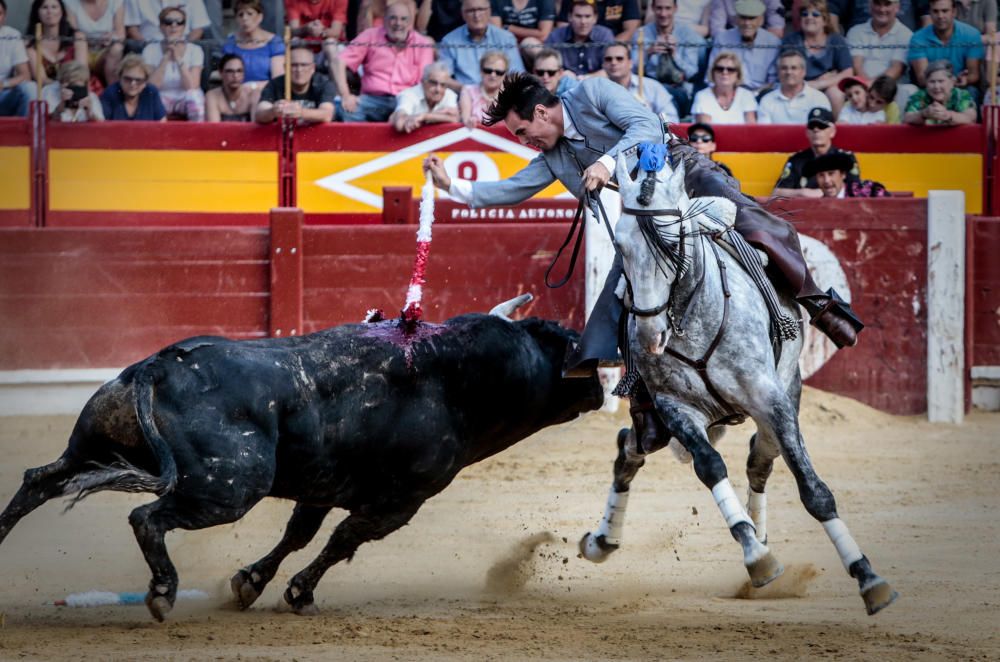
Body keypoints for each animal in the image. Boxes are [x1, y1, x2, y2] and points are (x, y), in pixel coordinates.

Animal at [0, 306, 600, 624]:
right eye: (578, 352)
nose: (605, 385)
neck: (460, 379)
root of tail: (158, 366)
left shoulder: (322, 486)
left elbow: (299, 534)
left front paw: (250, 583)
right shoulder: (399, 501)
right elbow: (341, 542)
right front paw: (298, 593)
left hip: (95, 448)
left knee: (38, 482)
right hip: (229, 488)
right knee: (147, 517)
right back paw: (164, 592)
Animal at [580, 152, 900, 616]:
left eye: (674, 241)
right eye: (620, 247)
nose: (649, 336)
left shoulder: (769, 399)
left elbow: (814, 491)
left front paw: (868, 577)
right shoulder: (675, 408)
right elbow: (710, 466)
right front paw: (757, 556)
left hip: (784, 396)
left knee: (760, 459)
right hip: (657, 425)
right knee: (629, 447)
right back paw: (603, 540)